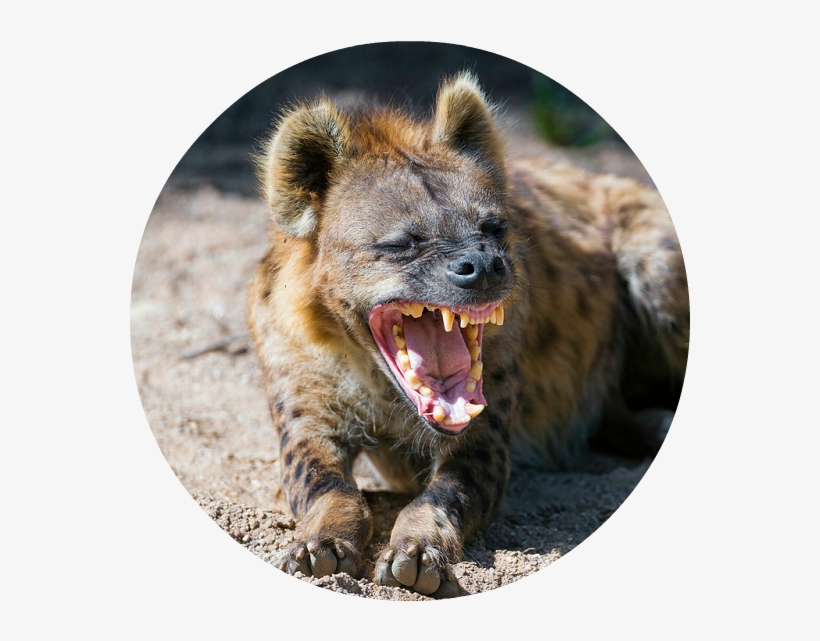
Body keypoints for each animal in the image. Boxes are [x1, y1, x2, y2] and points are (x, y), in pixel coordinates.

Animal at [247, 72, 689, 598]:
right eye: (401, 243)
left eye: (494, 227)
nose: (483, 265)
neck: (375, 384)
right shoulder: (299, 389)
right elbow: (319, 482)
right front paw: (320, 547)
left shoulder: (488, 414)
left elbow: (449, 490)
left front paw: (418, 554)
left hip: (654, 260)